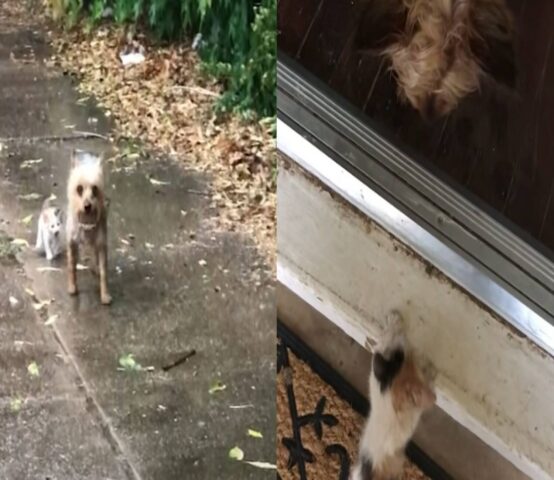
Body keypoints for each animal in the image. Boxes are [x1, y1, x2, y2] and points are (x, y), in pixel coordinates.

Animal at [66, 151, 111, 304]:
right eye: (79, 189)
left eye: (95, 189)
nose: (87, 206)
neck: (87, 220)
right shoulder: (72, 243)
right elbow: (72, 266)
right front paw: (72, 287)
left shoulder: (102, 243)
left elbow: (104, 271)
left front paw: (104, 294)